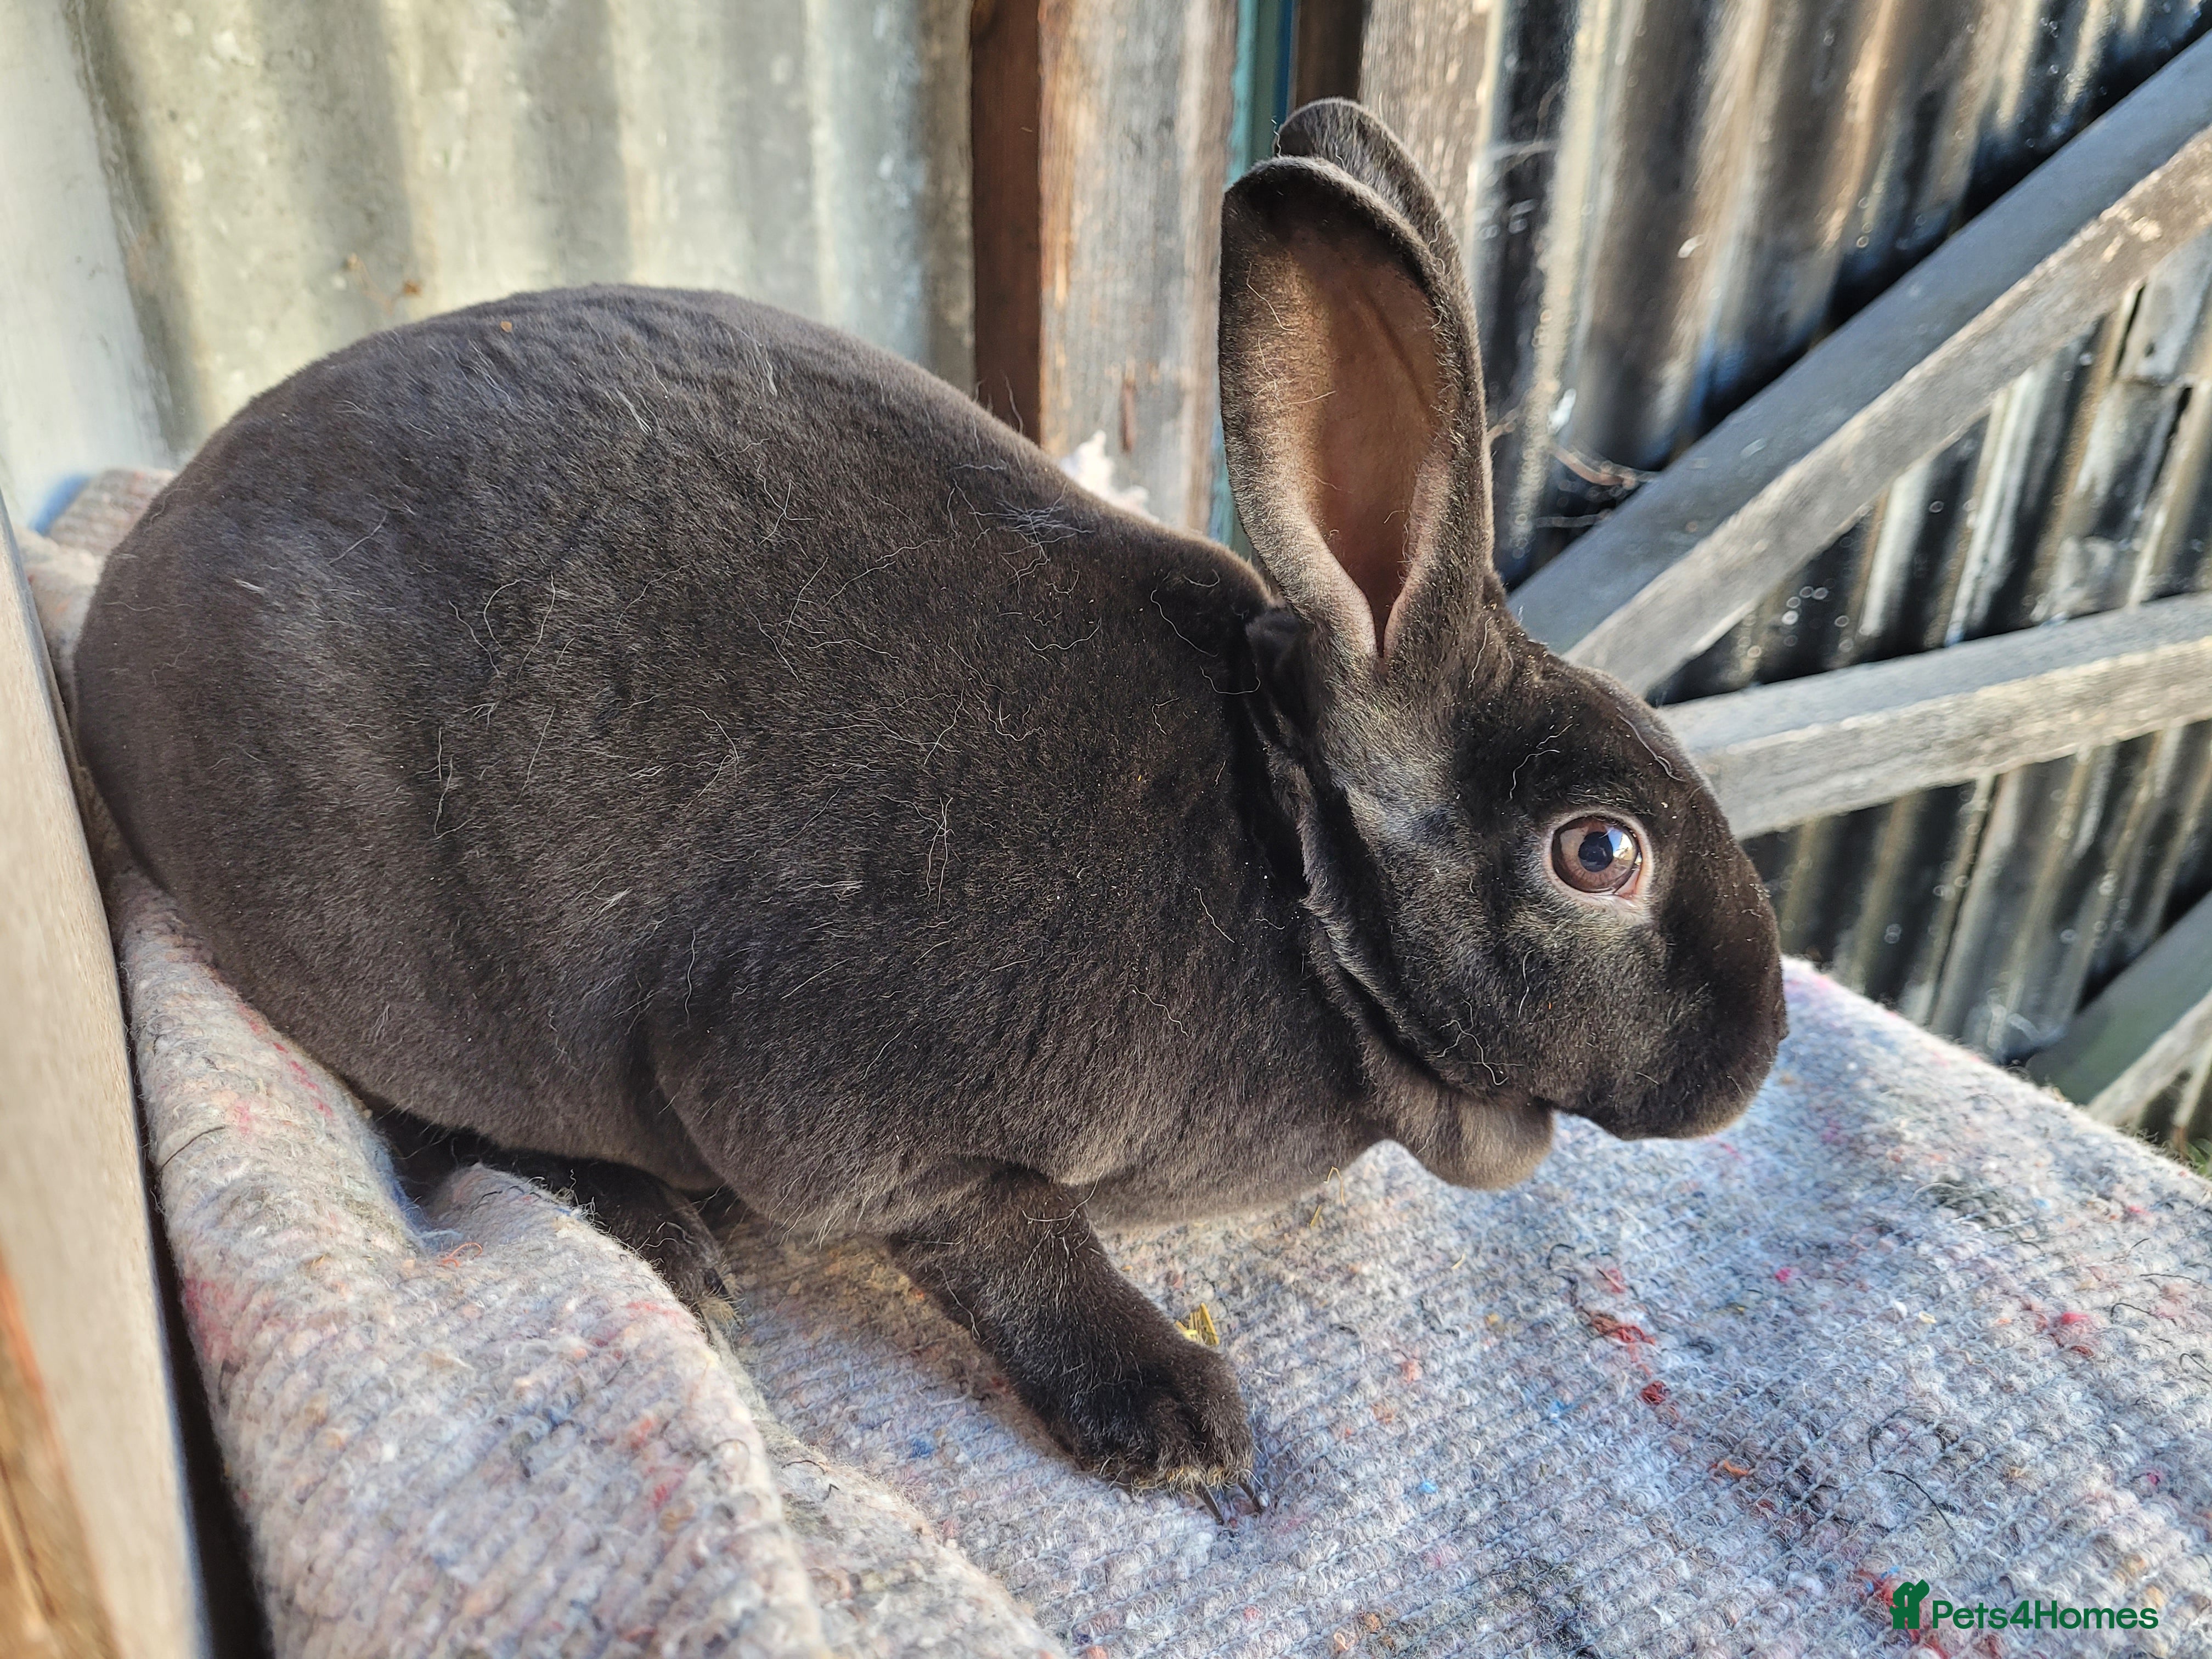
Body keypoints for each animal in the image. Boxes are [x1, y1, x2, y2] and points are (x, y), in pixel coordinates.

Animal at [74, 99, 1785, 1501]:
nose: (1755, 1056)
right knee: (424, 1112)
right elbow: (1006, 1236)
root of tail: (118, 613)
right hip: (378, 949)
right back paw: (659, 1242)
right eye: (1600, 853)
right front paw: (1178, 1420)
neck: (1300, 873)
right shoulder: (853, 1111)